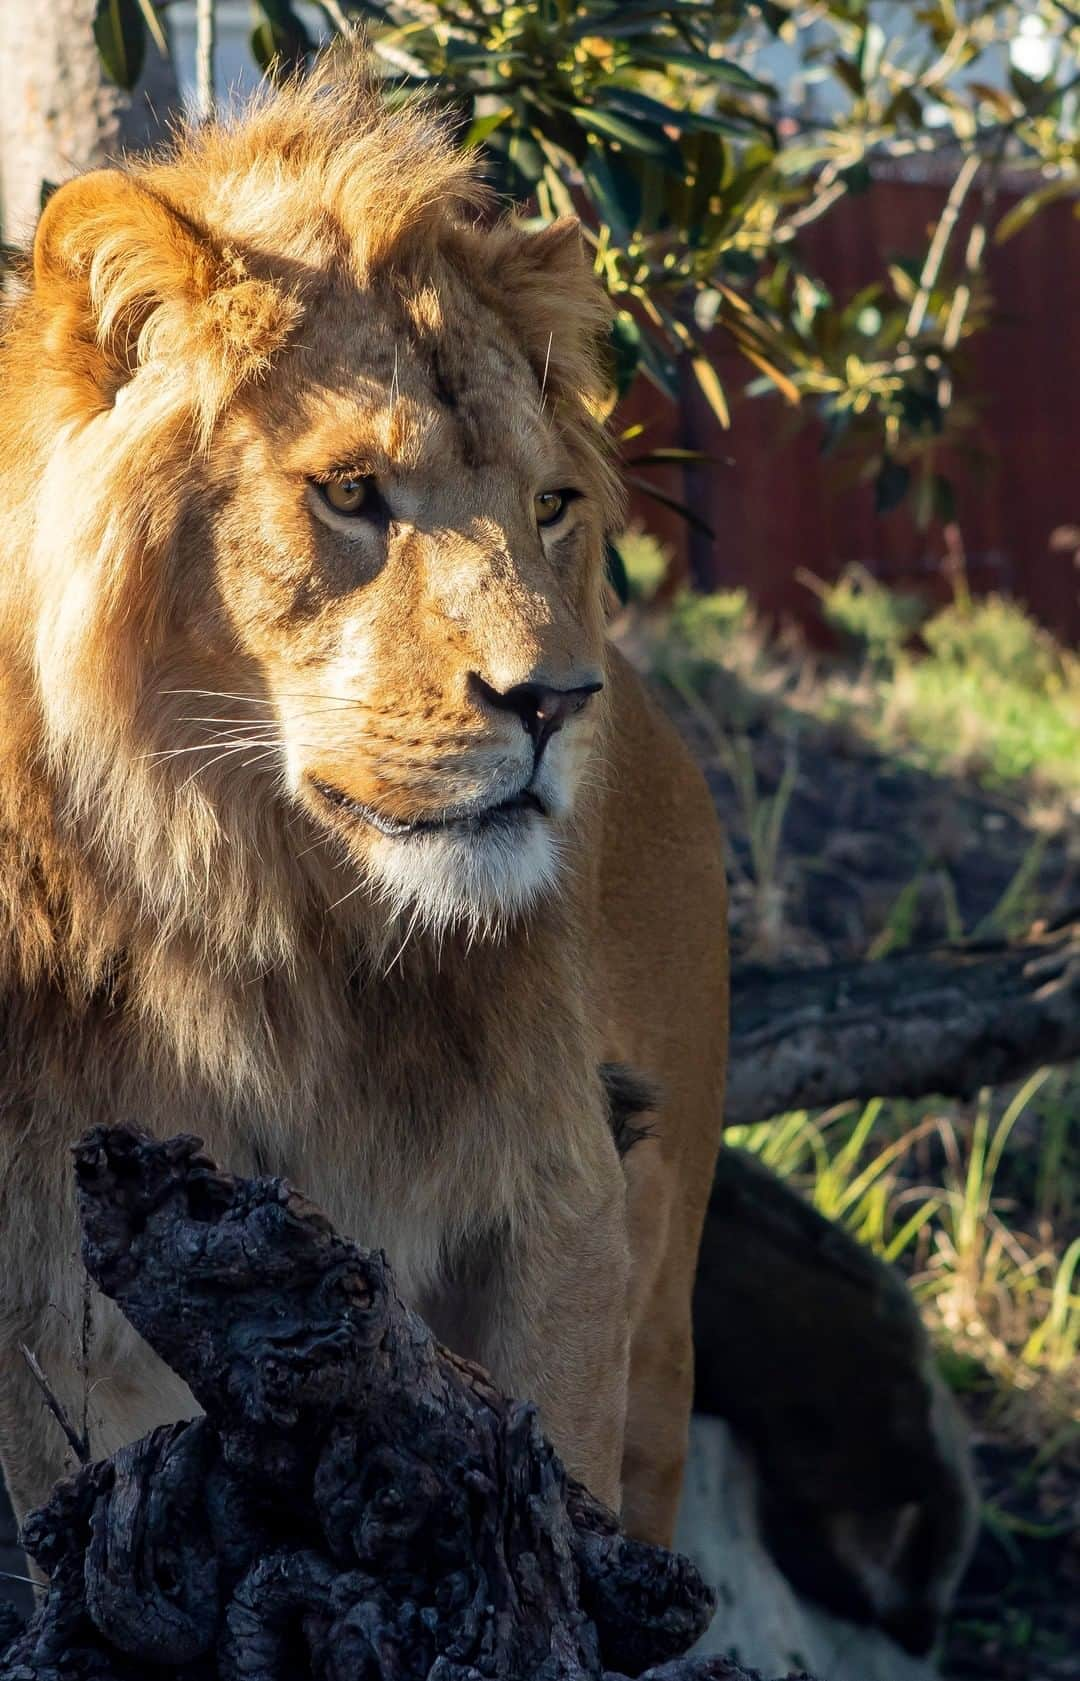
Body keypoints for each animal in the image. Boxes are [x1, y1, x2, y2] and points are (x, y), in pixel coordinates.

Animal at [0, 62, 726, 1546]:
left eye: (551, 504)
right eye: (349, 493)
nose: (558, 701)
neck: (270, 938)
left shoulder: (561, 1204)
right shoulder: (47, 1307)